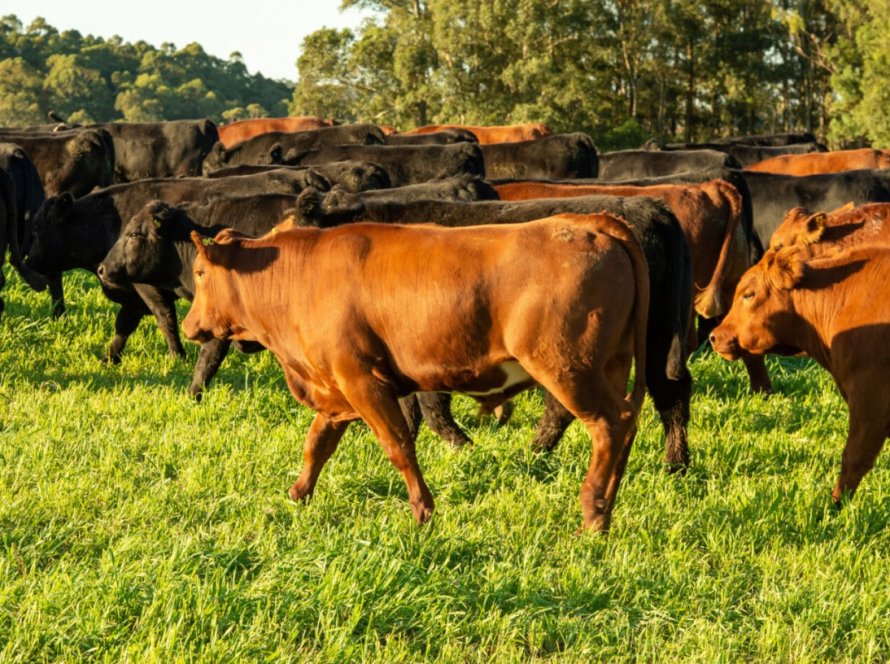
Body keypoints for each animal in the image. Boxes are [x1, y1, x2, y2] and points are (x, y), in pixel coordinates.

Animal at [184, 214, 648, 536]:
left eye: (200, 273)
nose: (190, 327)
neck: (299, 278)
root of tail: (591, 222)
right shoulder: (335, 389)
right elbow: (317, 444)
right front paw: (298, 494)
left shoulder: (361, 381)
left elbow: (399, 445)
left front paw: (423, 511)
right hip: (612, 364)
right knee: (626, 425)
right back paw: (607, 506)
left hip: (567, 369)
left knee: (609, 425)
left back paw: (592, 517)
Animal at [300, 193, 692, 472]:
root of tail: (650, 207)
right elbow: (409, 406)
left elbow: (429, 405)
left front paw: (462, 446)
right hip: (655, 333)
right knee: (671, 390)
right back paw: (675, 465)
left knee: (566, 404)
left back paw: (534, 452)